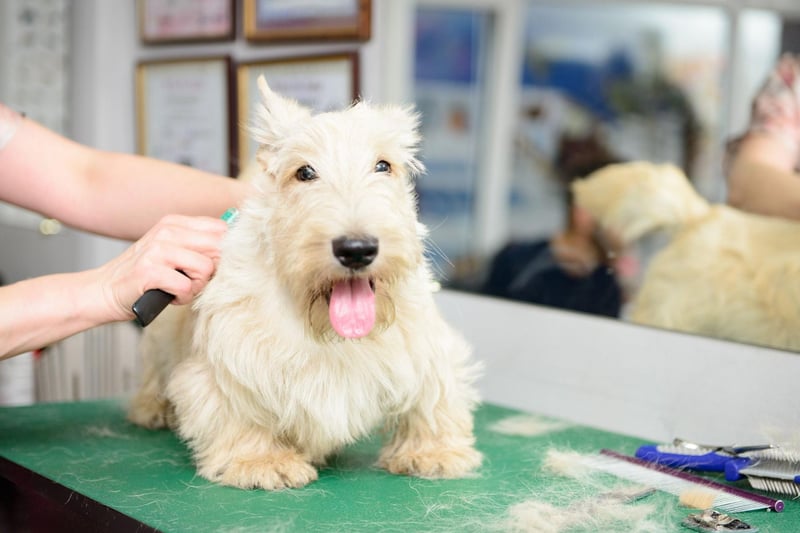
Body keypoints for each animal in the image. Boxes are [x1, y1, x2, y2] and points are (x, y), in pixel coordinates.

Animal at [128, 77, 484, 488]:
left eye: (383, 165)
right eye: (304, 172)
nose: (356, 249)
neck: (325, 328)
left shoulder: (426, 349)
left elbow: (434, 398)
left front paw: (434, 452)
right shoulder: (227, 364)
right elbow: (238, 409)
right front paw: (259, 459)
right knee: (153, 368)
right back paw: (150, 407)